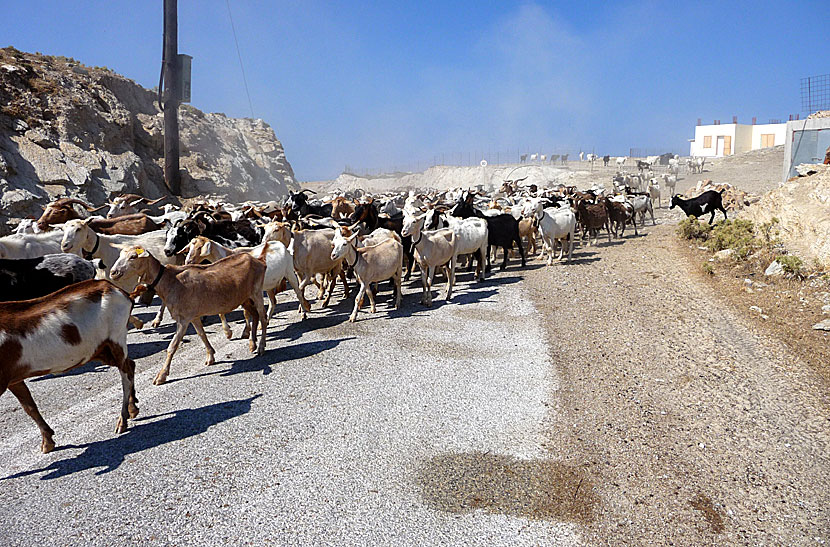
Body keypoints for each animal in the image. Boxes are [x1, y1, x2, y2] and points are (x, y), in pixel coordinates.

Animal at [0, 280, 138, 456]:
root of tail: (121, 292)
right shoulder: (13, 378)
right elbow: (29, 407)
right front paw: (47, 441)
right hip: (101, 350)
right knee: (130, 365)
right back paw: (133, 409)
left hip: (116, 338)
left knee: (125, 375)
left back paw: (122, 420)